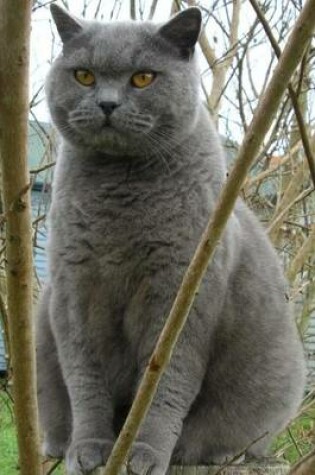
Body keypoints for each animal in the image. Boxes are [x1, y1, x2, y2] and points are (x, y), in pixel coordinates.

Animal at [36, 4, 306, 475]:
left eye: (144, 77)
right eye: (84, 75)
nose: (107, 103)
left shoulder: (181, 295)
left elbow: (166, 381)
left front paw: (144, 453)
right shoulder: (72, 289)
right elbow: (84, 377)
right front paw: (88, 448)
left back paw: (214, 452)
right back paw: (58, 442)